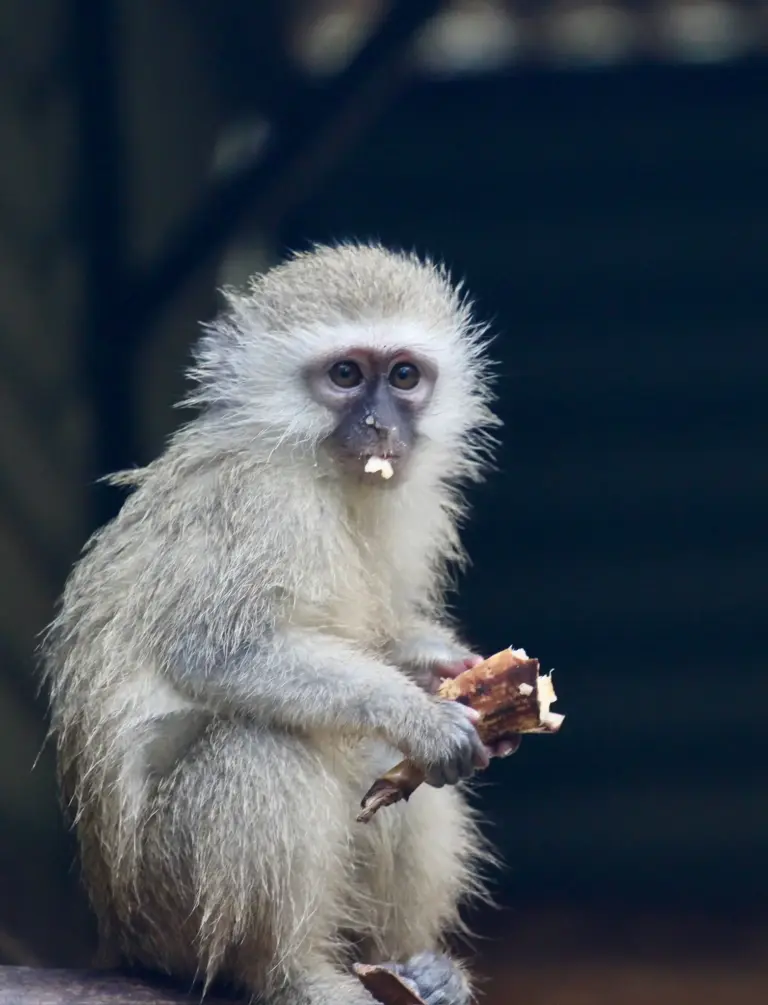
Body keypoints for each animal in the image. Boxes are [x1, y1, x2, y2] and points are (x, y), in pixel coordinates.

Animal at [41, 242, 512, 1005]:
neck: (315, 464)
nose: (381, 425)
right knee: (264, 743)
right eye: (345, 375)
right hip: (166, 909)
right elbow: (219, 654)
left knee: (380, 765)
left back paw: (409, 965)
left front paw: (447, 664)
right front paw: (418, 715)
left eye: (403, 375)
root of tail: (117, 934)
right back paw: (291, 973)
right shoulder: (261, 505)